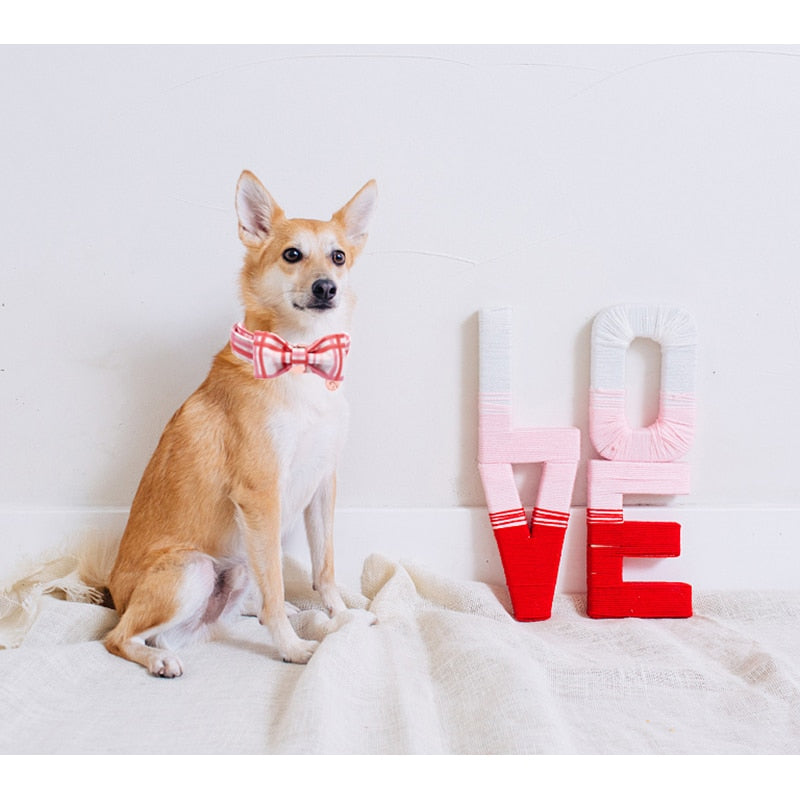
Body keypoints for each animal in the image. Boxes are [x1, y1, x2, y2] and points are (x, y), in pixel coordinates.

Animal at [104, 172, 378, 680]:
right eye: (292, 255)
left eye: (338, 256)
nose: (326, 287)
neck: (299, 358)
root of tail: (113, 595)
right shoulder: (261, 493)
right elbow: (278, 582)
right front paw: (292, 647)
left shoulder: (322, 484)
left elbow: (324, 568)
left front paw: (341, 617)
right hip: (193, 569)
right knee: (119, 636)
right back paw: (158, 657)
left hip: (236, 560)